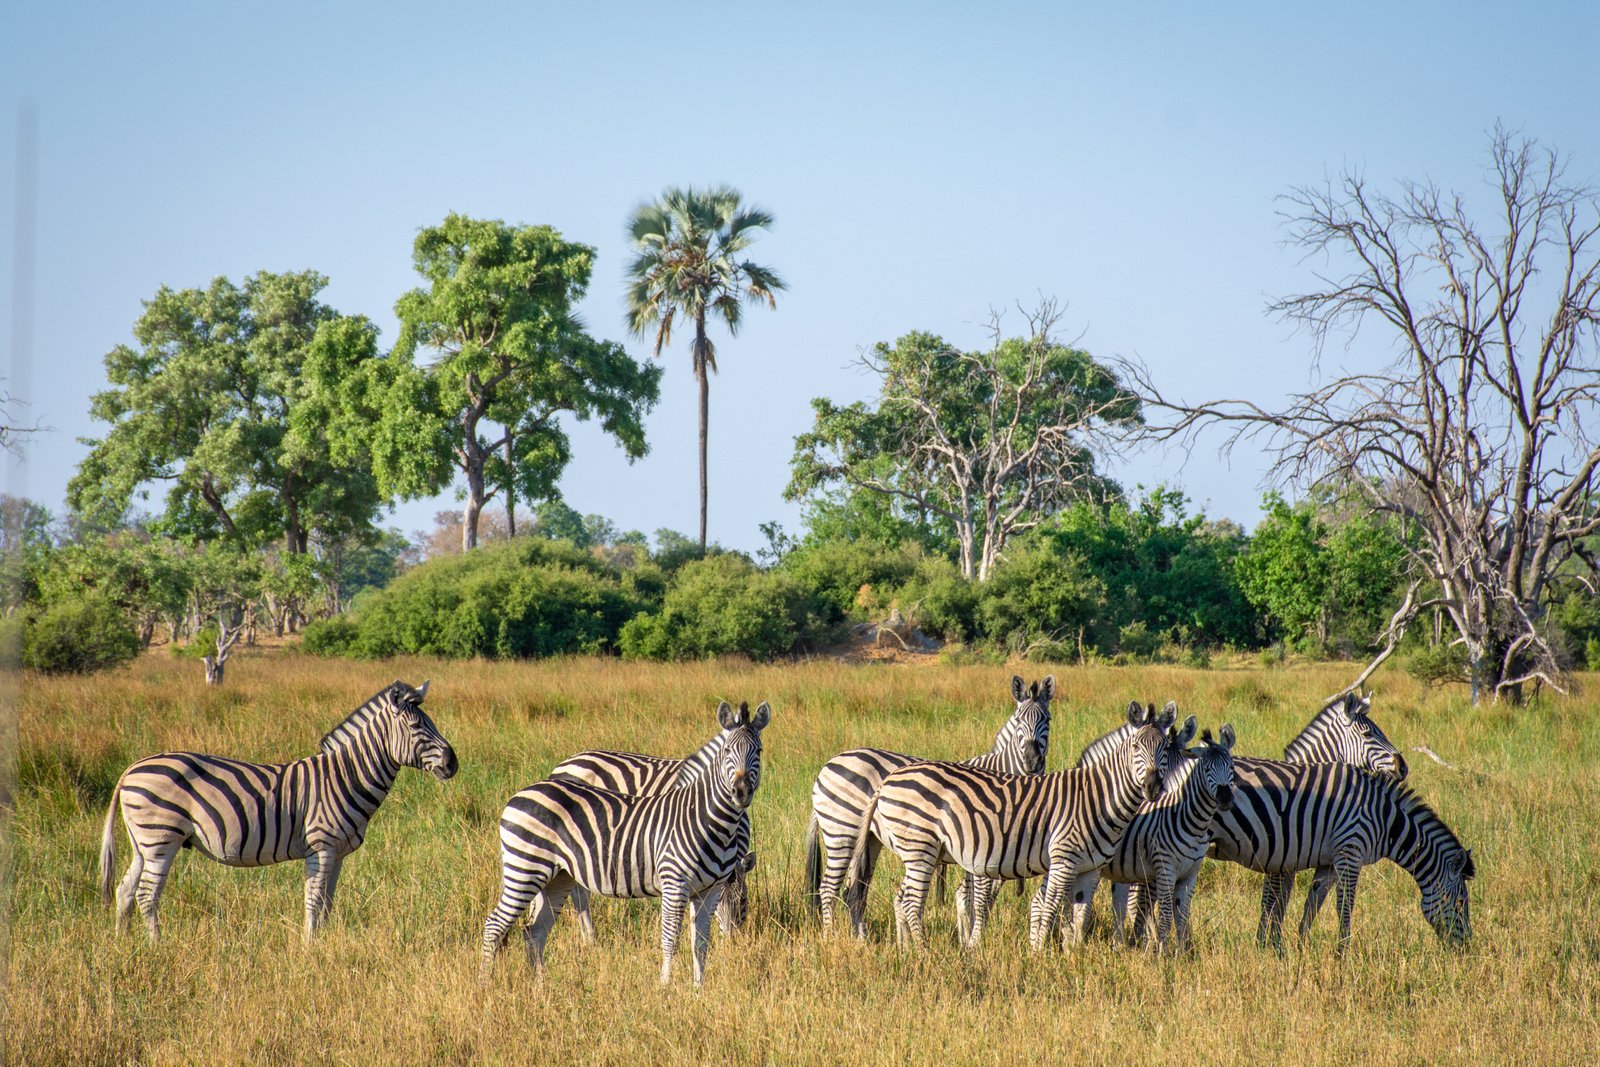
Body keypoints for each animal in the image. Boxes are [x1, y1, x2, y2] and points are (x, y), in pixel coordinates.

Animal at [98, 680, 457, 942]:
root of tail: (131, 768)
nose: (454, 763)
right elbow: (314, 900)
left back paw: (123, 945)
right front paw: (309, 948)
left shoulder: (338, 852)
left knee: (125, 890)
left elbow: (328, 902)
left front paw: (323, 944)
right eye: (416, 727)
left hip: (143, 843)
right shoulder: (321, 847)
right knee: (146, 894)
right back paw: (157, 946)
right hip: (161, 838)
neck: (345, 776)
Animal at [804, 675, 1053, 937]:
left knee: (854, 891)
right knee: (828, 888)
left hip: (869, 840)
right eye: (1019, 720)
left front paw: (966, 938)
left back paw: (860, 940)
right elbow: (972, 899)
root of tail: (828, 765)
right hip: (842, 831)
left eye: (1047, 719)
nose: (1032, 761)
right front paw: (969, 939)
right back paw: (831, 937)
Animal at [849, 700, 1167, 951]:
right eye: (1136, 747)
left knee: (902, 898)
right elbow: (1050, 909)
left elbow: (1079, 914)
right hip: (920, 847)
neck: (1097, 796)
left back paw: (906, 951)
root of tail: (888, 780)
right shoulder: (1063, 860)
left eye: (1164, 748)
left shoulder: (1089, 868)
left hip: (920, 852)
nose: (1153, 787)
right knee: (913, 903)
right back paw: (925, 953)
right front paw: (1040, 955)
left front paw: (1074, 956)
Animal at [1066, 723, 1234, 952]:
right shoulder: (1162, 869)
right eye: (1208, 769)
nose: (1225, 798)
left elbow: (1179, 915)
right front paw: (1160, 951)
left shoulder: (1188, 874)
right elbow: (1159, 912)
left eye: (1232, 767)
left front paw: (1181, 953)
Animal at [1208, 761, 1474, 951]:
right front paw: (1343, 954)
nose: (1467, 949)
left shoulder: (1329, 863)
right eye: (1462, 902)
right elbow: (1344, 906)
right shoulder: (1350, 852)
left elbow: (1312, 904)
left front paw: (1302, 948)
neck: (1384, 819)